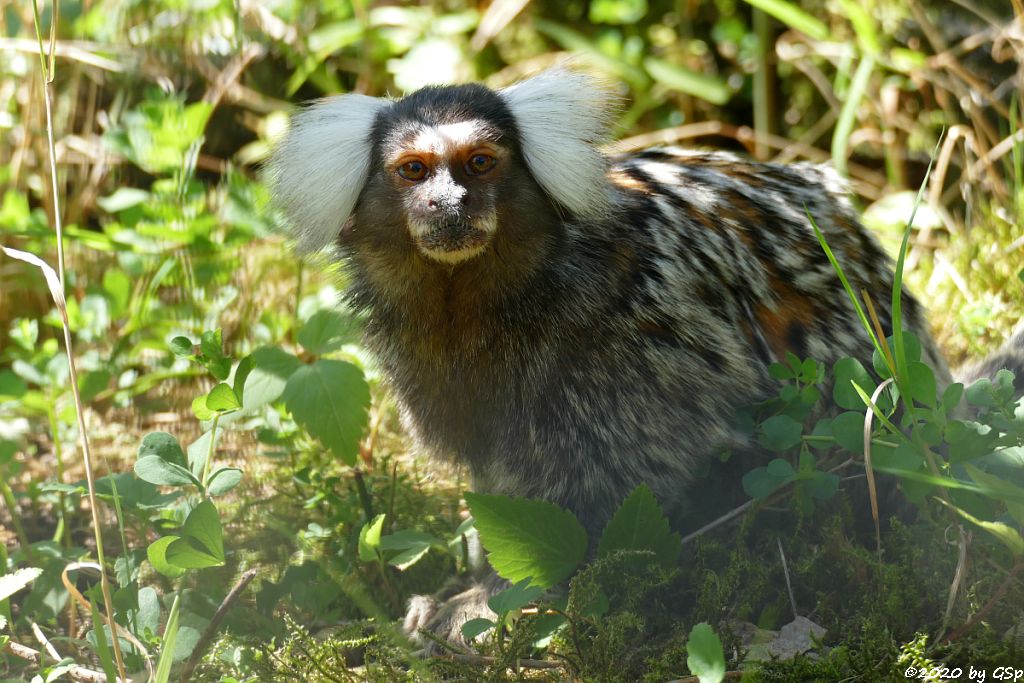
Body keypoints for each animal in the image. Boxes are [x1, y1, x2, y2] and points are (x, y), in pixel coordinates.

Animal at [268, 68, 1011, 647]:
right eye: (414, 170)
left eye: (479, 163)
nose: (447, 202)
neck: (481, 300)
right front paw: (469, 577)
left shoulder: (627, 335)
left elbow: (606, 482)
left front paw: (489, 598)